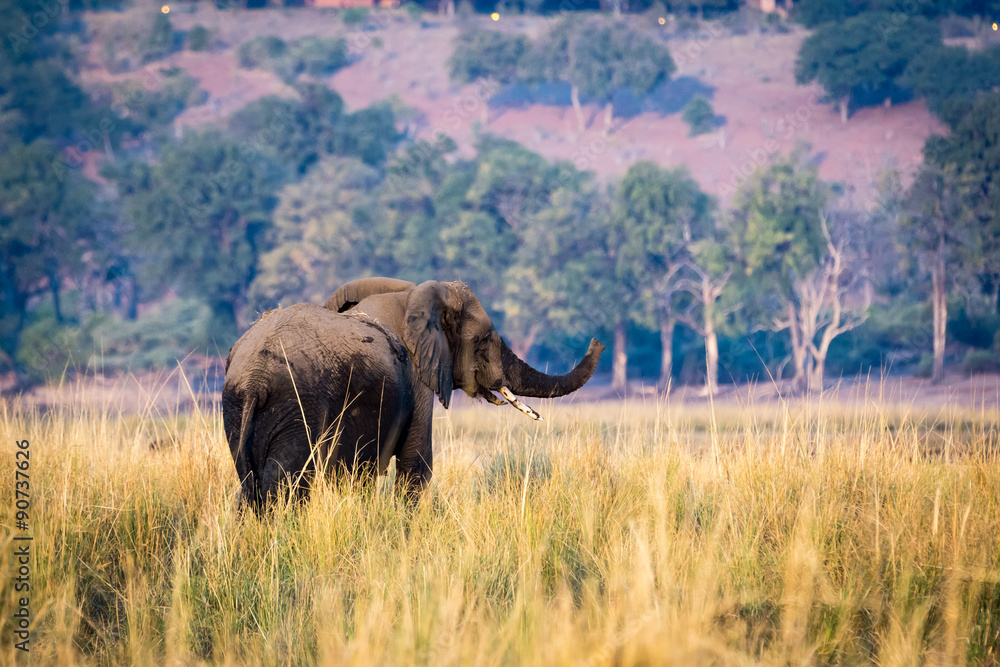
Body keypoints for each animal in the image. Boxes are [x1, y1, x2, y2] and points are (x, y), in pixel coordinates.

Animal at [223, 276, 604, 512]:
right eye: (483, 340)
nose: (598, 341)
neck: (409, 297)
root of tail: (255, 376)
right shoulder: (417, 380)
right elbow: (416, 465)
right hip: (299, 405)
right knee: (284, 482)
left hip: (237, 408)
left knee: (249, 486)